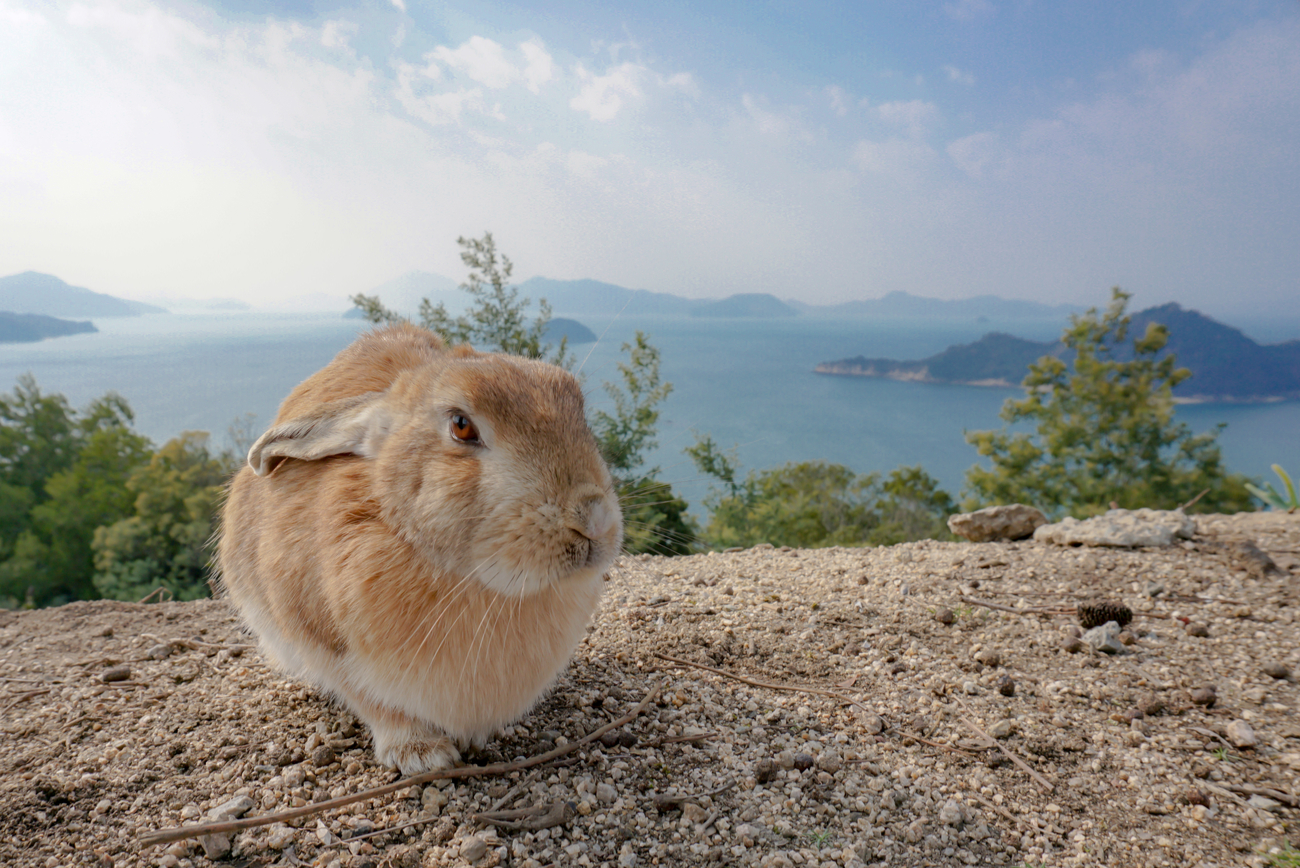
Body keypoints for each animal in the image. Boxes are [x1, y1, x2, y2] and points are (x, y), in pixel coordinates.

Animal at [215, 324, 621, 774]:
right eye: (461, 426)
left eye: (578, 410)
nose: (594, 520)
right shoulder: (321, 640)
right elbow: (373, 703)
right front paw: (421, 755)